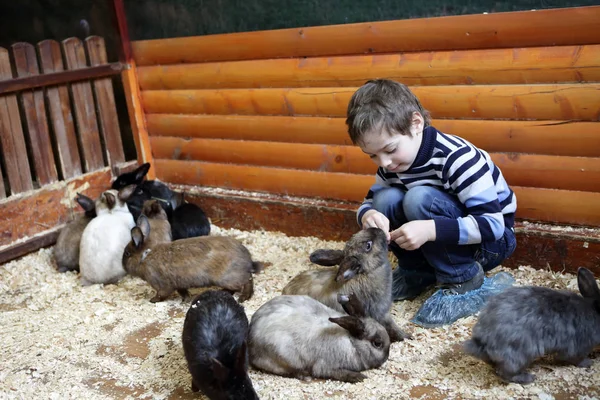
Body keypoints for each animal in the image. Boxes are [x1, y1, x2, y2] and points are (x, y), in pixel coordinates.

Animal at [121, 225, 262, 304]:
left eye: (127, 253)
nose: (123, 266)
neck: (145, 257)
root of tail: (247, 260)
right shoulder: (179, 285)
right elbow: (183, 292)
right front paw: (186, 300)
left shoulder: (162, 285)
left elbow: (162, 294)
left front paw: (153, 300)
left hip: (228, 278)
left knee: (247, 282)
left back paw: (243, 297)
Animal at [247, 292, 390, 382]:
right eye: (377, 343)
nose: (386, 357)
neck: (351, 343)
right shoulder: (325, 366)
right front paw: (358, 377)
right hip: (283, 356)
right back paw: (305, 376)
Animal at [464, 268, 600, 382]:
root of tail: (482, 341)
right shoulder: (578, 348)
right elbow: (576, 359)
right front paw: (588, 363)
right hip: (520, 355)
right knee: (506, 373)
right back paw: (528, 378)